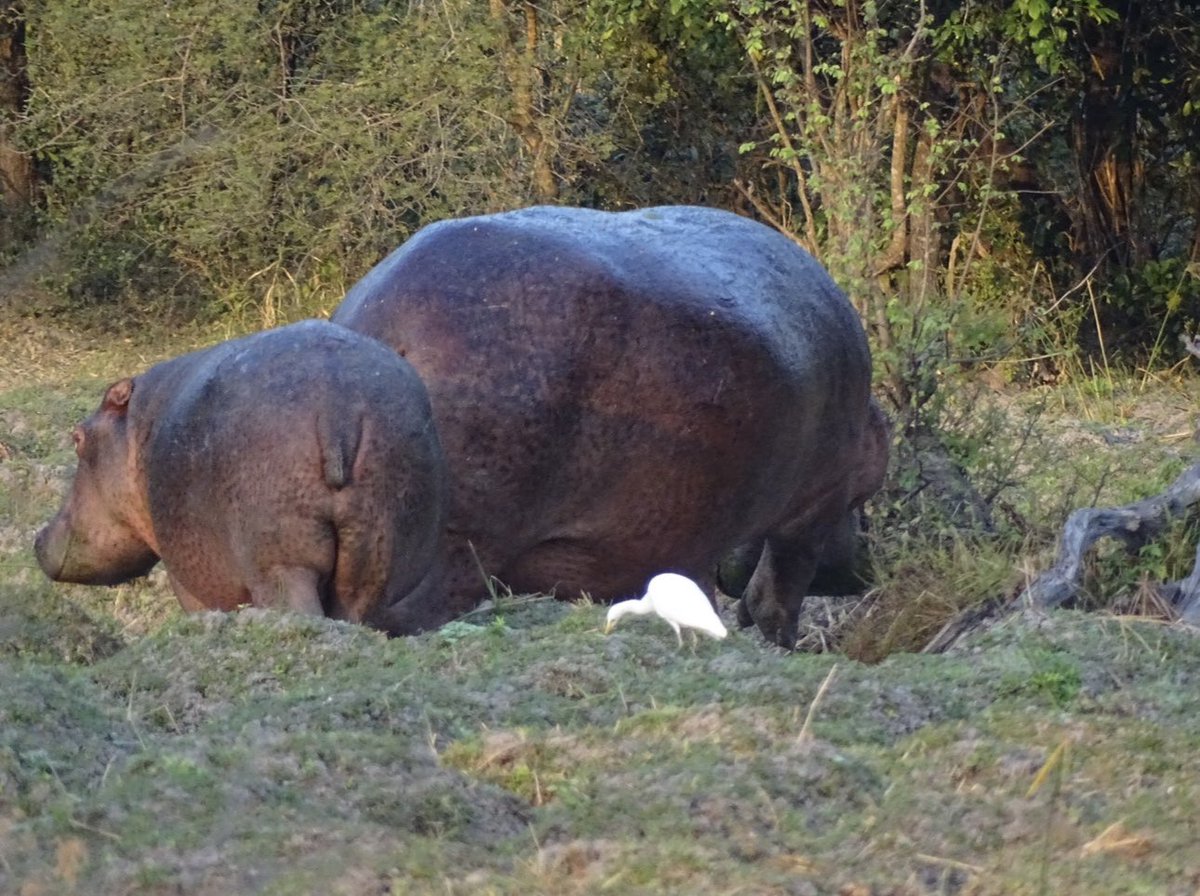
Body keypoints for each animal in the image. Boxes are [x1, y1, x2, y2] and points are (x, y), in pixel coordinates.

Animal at [39, 319, 451, 628]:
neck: (137, 430)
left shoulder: (186, 575)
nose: (39, 536)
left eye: (77, 438)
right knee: (355, 610)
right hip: (375, 554)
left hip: (282, 564)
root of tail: (340, 400)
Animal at [333, 206, 888, 647]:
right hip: (460, 542)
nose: (866, 569)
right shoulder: (813, 509)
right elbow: (774, 597)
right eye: (864, 502)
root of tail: (386, 326)